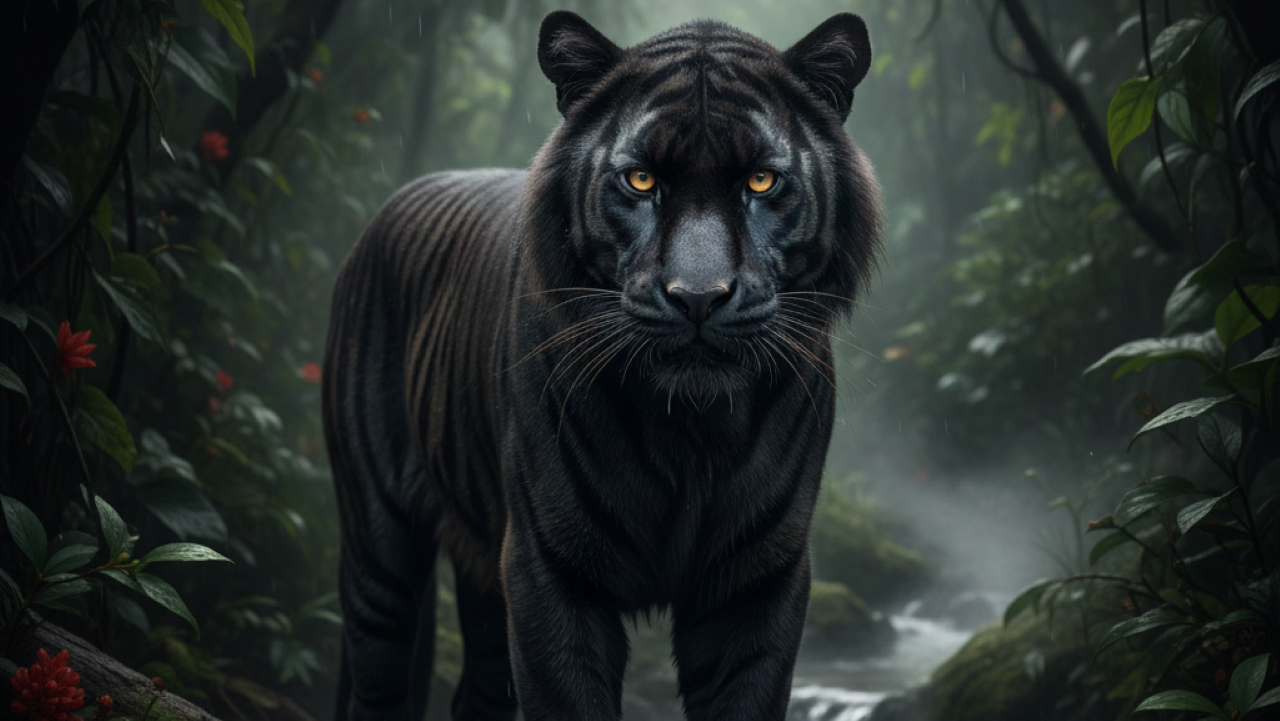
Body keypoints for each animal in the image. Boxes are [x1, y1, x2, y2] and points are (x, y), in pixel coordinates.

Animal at [322, 10, 882, 720]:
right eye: (640, 180)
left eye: (761, 180)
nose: (698, 297)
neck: (690, 430)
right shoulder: (548, 567)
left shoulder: (757, 579)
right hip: (381, 550)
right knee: (377, 680)